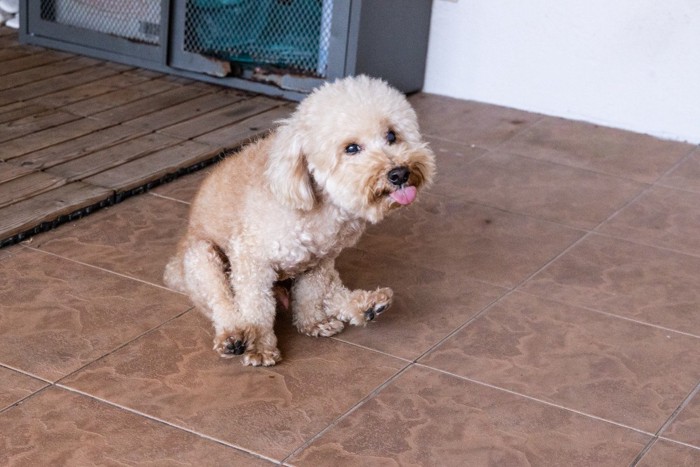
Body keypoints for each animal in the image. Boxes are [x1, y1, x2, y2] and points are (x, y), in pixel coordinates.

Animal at [166, 77, 434, 368]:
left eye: (392, 135)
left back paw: (367, 305)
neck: (320, 207)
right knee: (222, 302)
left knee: (333, 292)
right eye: (351, 148)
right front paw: (260, 347)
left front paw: (313, 323)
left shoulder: (320, 262)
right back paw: (234, 336)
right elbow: (256, 308)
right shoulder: (251, 262)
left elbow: (311, 294)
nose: (399, 173)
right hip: (202, 258)